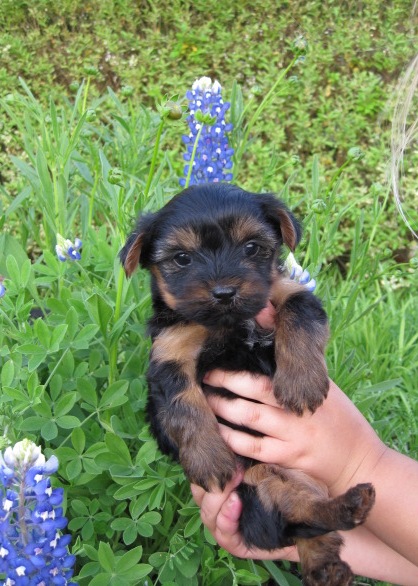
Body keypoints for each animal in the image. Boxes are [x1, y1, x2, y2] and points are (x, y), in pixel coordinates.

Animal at [119, 182, 374, 584]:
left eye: (252, 248)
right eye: (182, 259)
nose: (224, 292)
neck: (229, 324)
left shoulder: (285, 291)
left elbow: (300, 311)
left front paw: (302, 382)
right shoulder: (171, 351)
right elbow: (183, 405)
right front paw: (208, 460)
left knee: (310, 524)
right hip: (260, 483)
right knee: (304, 520)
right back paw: (338, 542)